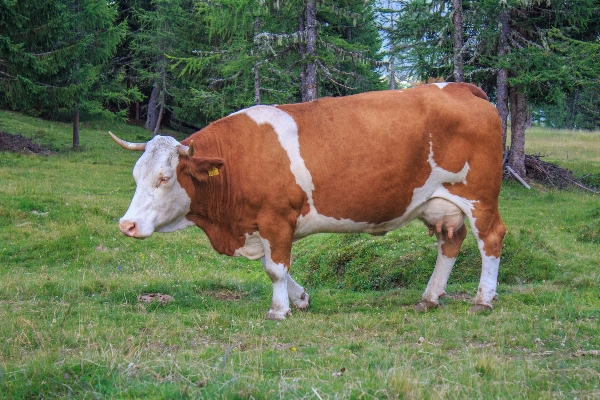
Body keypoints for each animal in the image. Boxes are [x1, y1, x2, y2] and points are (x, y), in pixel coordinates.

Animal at [109, 83, 506, 320]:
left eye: (165, 177)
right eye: (136, 175)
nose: (126, 225)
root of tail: (459, 87)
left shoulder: (276, 218)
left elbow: (274, 268)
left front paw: (278, 310)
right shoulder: (263, 226)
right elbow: (273, 264)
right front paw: (299, 299)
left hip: (479, 197)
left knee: (491, 238)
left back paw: (483, 299)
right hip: (439, 202)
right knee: (450, 242)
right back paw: (430, 296)